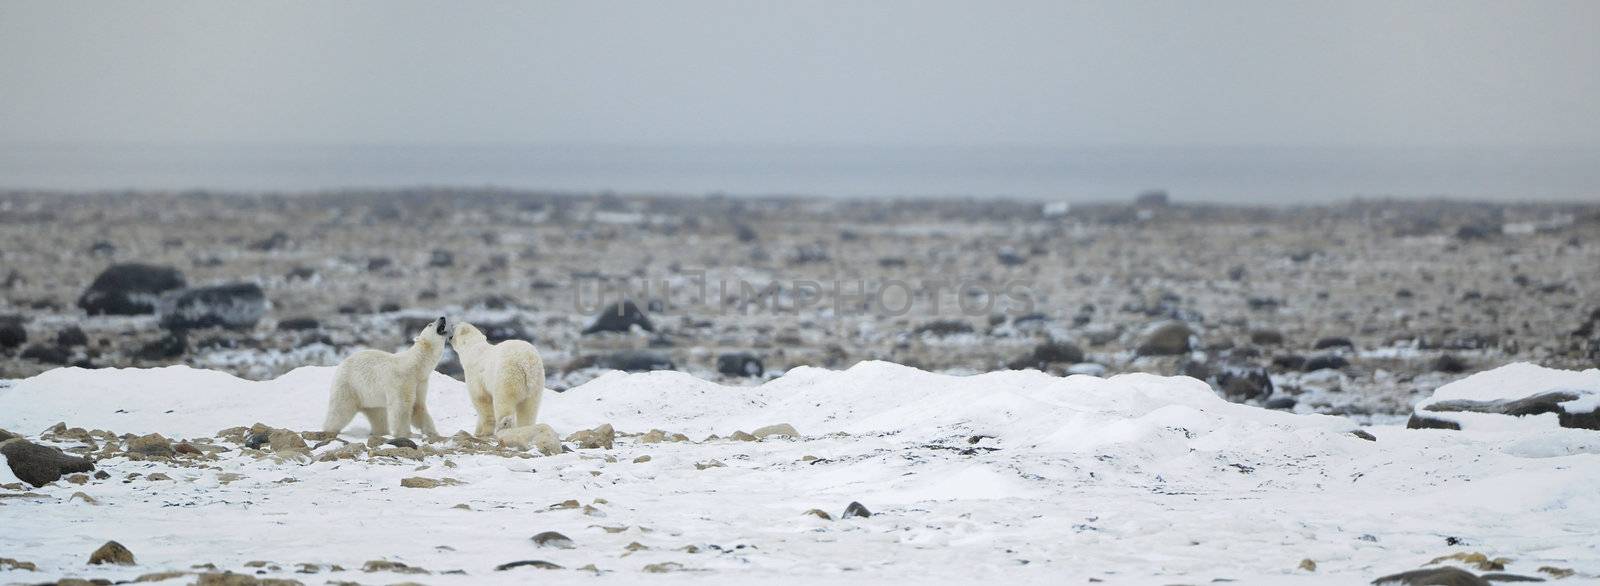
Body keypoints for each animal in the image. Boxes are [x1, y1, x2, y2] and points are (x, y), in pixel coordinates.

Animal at [323, 318, 451, 438]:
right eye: (430, 324)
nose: (442, 318)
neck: (416, 365)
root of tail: (342, 363)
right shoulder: (402, 380)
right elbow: (401, 406)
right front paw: (407, 434)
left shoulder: (420, 382)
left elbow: (418, 407)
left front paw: (433, 433)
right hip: (350, 385)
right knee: (340, 409)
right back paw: (329, 429)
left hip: (371, 397)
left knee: (378, 415)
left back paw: (382, 432)